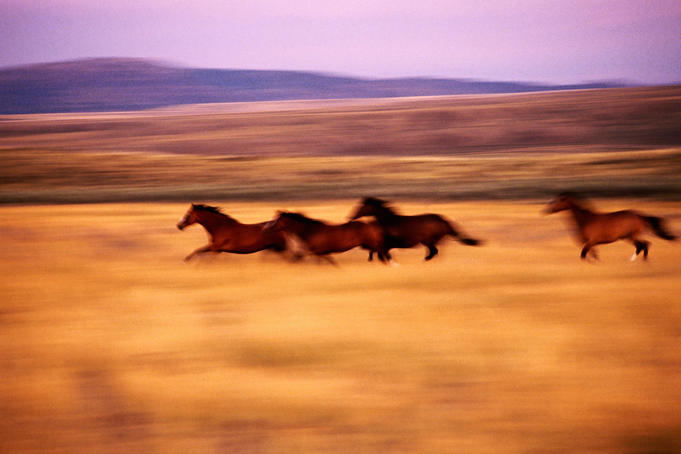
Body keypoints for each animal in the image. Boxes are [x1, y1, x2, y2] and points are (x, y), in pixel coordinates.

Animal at [348, 197, 481, 261]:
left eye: (362, 206)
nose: (350, 217)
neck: (388, 221)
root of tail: (443, 220)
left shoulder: (387, 244)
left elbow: (381, 254)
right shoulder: (385, 245)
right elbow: (378, 254)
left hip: (428, 241)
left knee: (433, 252)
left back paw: (423, 261)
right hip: (431, 242)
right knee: (435, 253)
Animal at [544, 193, 676, 261]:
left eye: (557, 201)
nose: (545, 211)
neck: (586, 220)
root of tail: (639, 216)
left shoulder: (591, 242)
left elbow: (583, 255)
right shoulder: (590, 244)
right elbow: (593, 256)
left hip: (631, 235)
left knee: (643, 245)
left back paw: (633, 261)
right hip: (627, 237)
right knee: (643, 245)